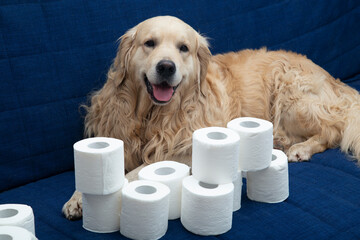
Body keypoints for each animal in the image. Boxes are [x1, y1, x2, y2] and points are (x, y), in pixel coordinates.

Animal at [63, 15, 360, 219]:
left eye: (183, 48)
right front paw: (78, 197)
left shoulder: (186, 150)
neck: (154, 115)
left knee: (332, 130)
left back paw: (301, 148)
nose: (166, 67)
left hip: (290, 97)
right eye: (149, 43)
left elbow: (141, 169)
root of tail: (333, 79)